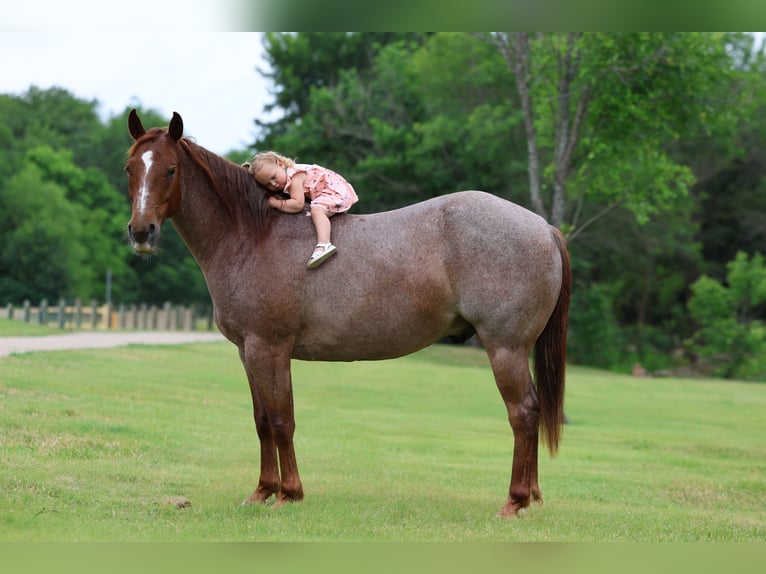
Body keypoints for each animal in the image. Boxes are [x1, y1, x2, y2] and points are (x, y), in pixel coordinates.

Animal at [125, 109, 571, 518]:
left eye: (169, 169)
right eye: (130, 168)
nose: (142, 232)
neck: (253, 235)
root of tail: (544, 227)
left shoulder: (269, 349)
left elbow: (282, 420)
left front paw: (289, 493)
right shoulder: (247, 351)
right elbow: (262, 420)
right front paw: (262, 491)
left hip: (505, 348)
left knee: (523, 413)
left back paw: (514, 501)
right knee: (531, 412)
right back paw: (530, 497)